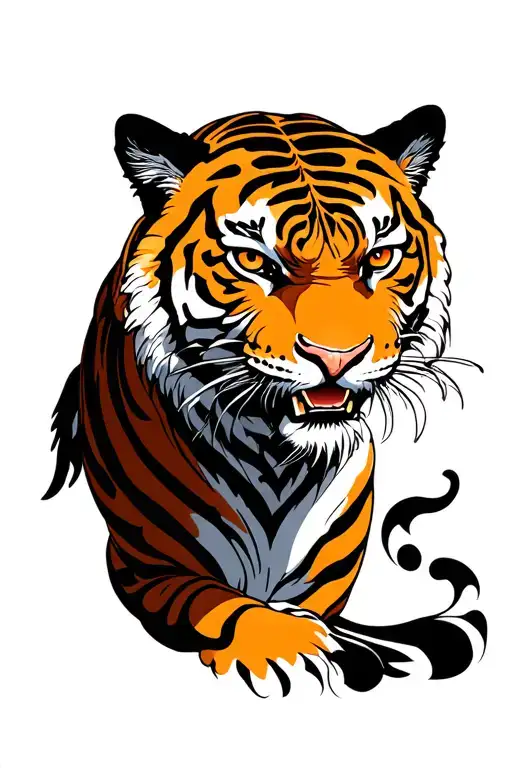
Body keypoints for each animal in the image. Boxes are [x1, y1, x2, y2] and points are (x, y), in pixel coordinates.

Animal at [45, 105, 461, 693]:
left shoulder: (325, 576)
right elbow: (221, 604)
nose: (337, 356)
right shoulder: (150, 562)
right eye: (252, 261)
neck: (278, 459)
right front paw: (291, 646)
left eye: (379, 257)